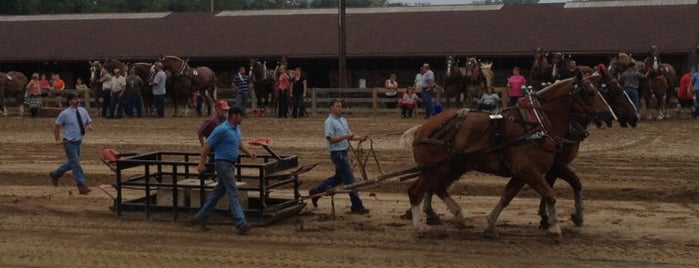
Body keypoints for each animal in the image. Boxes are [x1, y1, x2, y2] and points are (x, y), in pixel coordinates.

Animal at [402, 72, 608, 240]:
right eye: (589, 93)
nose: (608, 115)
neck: (536, 124)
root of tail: (421, 128)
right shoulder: (529, 171)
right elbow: (550, 194)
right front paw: (555, 228)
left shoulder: (524, 174)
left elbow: (507, 196)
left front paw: (491, 225)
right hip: (435, 168)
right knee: (415, 191)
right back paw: (420, 227)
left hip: (452, 166)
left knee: (437, 187)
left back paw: (458, 216)